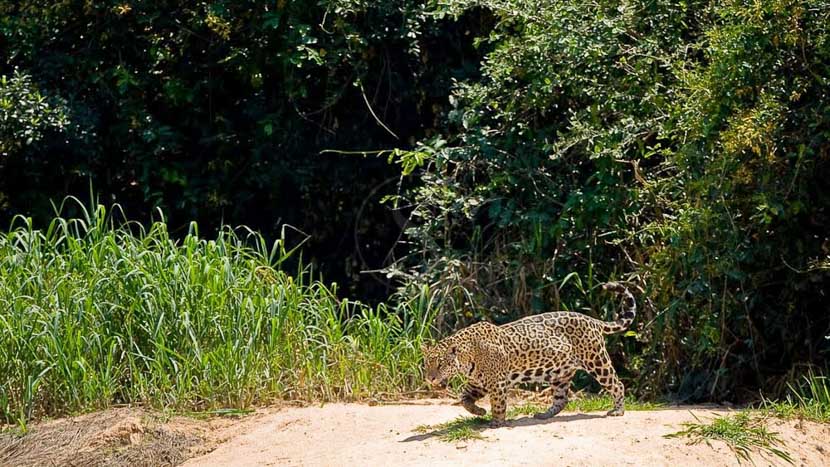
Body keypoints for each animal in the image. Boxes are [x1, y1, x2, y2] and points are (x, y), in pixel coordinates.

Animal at [422, 282, 636, 426]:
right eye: (426, 365)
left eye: (440, 365)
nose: (430, 379)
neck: (468, 357)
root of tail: (593, 320)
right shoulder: (477, 383)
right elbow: (464, 398)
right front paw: (479, 411)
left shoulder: (497, 383)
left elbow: (498, 403)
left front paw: (496, 422)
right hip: (560, 373)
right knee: (562, 398)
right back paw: (544, 415)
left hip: (596, 361)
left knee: (617, 384)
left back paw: (618, 410)